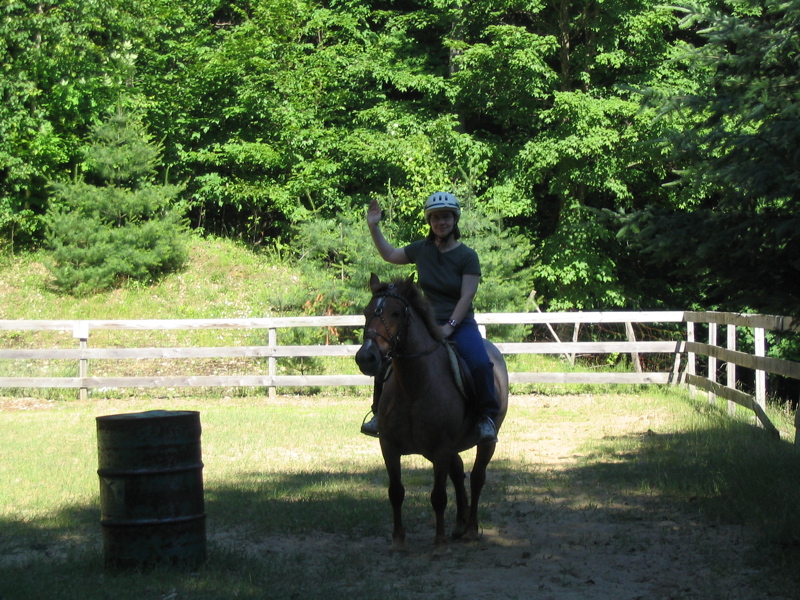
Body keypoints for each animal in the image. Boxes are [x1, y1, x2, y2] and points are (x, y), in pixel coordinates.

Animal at [354, 274, 506, 556]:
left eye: (395, 313)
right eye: (367, 313)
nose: (366, 357)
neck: (414, 387)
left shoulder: (441, 448)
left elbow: (438, 496)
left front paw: (439, 543)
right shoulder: (389, 446)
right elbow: (396, 492)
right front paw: (398, 540)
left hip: (486, 442)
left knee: (477, 478)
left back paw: (470, 529)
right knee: (458, 473)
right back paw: (459, 525)